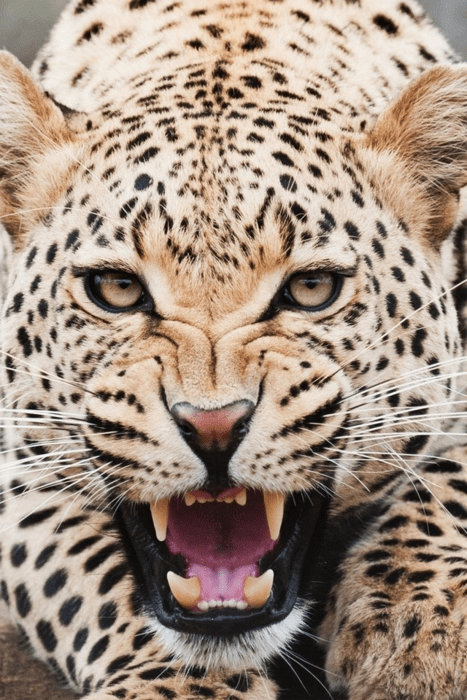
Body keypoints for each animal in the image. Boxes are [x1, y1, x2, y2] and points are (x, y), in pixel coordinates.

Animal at [1, 0, 467, 698]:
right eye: (116, 289)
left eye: (311, 289)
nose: (213, 427)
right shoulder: (19, 469)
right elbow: (86, 573)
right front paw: (175, 684)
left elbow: (448, 487)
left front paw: (420, 633)